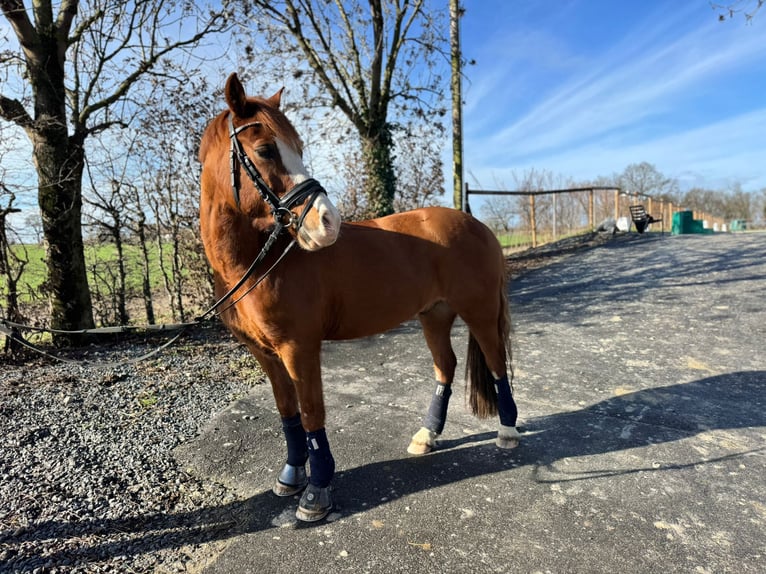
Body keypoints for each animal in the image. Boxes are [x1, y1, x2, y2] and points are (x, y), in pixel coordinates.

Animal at [198, 73, 520, 522]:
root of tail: (478, 225)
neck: (260, 262)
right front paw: (290, 477)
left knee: (495, 365)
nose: (327, 223)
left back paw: (507, 431)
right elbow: (288, 413)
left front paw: (316, 492)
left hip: (480, 312)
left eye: (298, 149)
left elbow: (312, 412)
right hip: (434, 315)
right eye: (264, 150)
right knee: (446, 367)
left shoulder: (299, 347)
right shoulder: (265, 354)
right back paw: (427, 435)